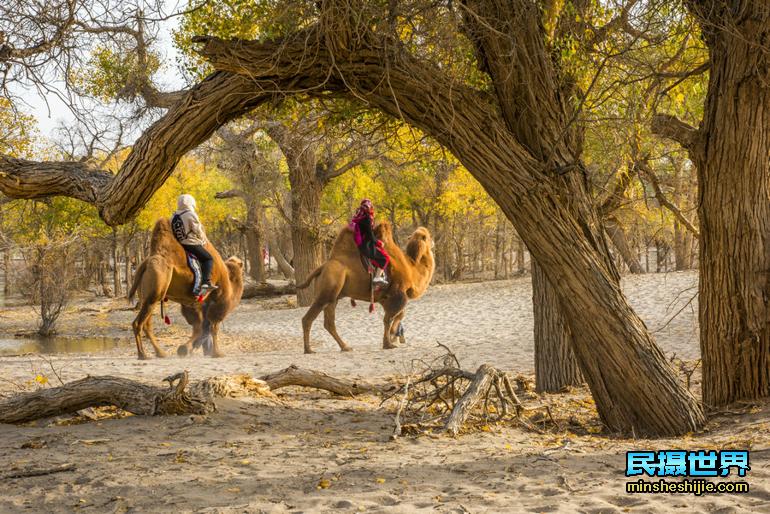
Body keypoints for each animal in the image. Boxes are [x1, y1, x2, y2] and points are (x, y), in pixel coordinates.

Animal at [127, 218, 244, 358]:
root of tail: (145, 263)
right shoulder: (218, 299)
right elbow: (212, 326)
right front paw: (216, 352)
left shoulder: (193, 302)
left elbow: (200, 325)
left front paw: (188, 349)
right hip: (154, 292)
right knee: (138, 323)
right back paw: (143, 355)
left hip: (147, 296)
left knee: (147, 325)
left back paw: (160, 353)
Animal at [296, 220, 436, 352]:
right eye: (428, 237)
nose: (433, 241)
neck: (412, 269)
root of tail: (322, 267)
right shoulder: (398, 294)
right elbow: (390, 318)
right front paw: (390, 342)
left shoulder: (385, 298)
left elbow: (395, 316)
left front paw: (392, 339)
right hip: (327, 291)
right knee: (308, 318)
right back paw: (309, 349)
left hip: (333, 297)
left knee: (329, 323)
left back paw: (345, 347)